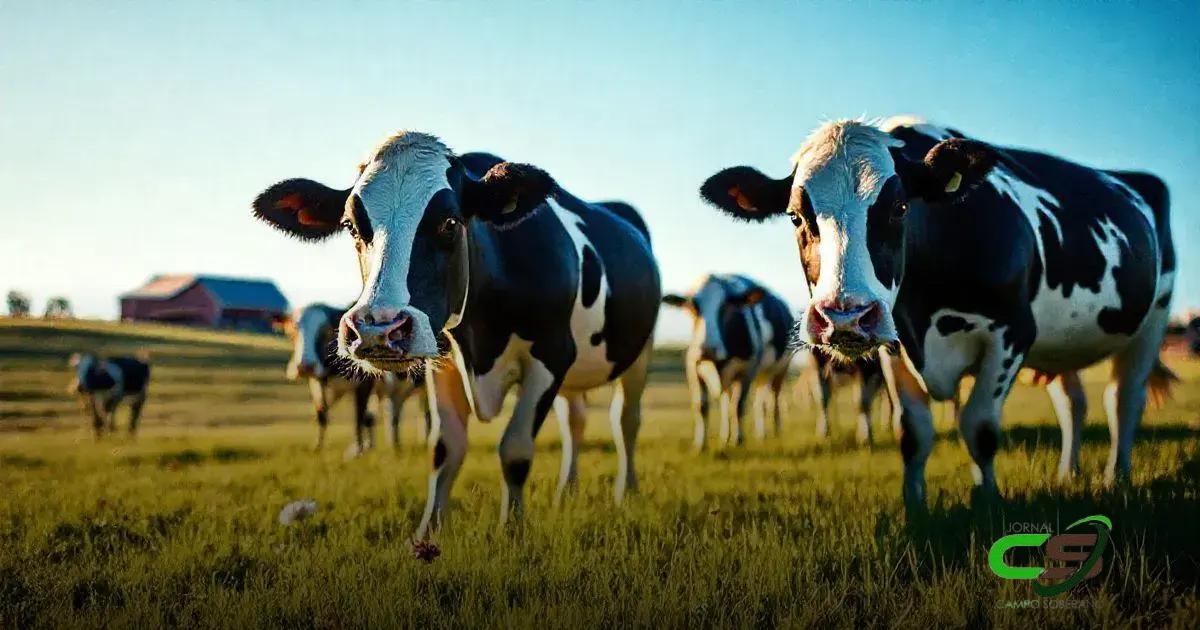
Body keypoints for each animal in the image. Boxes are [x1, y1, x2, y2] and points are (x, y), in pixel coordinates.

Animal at [280, 302, 428, 455]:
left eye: (325, 332)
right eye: (292, 331)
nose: (305, 367)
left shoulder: (365, 383)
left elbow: (359, 415)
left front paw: (358, 450)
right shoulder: (317, 382)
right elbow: (322, 414)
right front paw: (317, 447)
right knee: (393, 412)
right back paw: (393, 445)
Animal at [699, 116, 1175, 506]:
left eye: (900, 207)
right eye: (797, 217)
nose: (844, 318)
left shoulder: (1011, 333)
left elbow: (979, 427)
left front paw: (986, 500)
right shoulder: (893, 347)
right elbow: (913, 433)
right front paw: (916, 505)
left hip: (1153, 321)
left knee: (1123, 400)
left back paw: (1116, 477)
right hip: (1063, 344)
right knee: (1073, 403)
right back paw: (1067, 473)